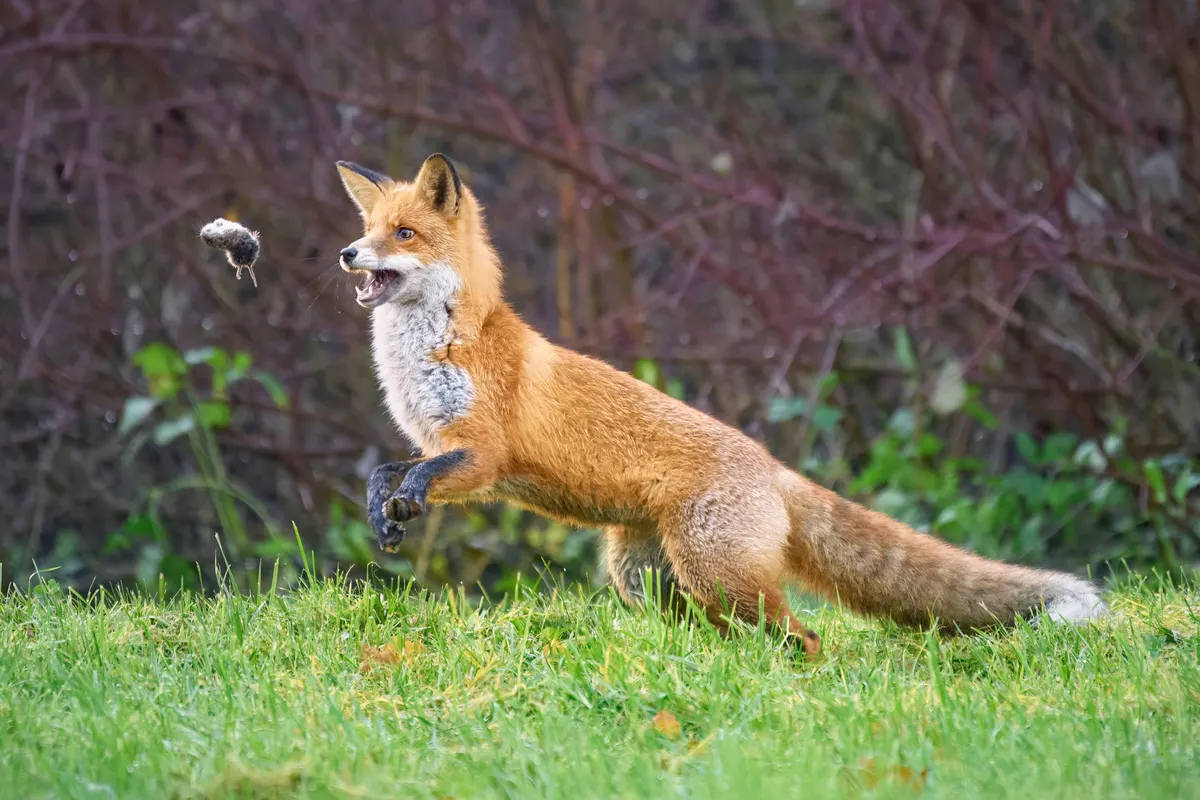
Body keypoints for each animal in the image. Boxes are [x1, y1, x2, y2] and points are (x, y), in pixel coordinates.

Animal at [334, 152, 1107, 657]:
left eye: (403, 235)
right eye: (371, 231)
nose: (346, 254)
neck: (440, 346)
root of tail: (770, 465)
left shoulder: (484, 453)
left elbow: (428, 475)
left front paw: (406, 506)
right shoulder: (438, 443)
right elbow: (385, 473)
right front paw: (384, 513)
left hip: (717, 577)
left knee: (805, 636)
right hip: (650, 582)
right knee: (730, 638)